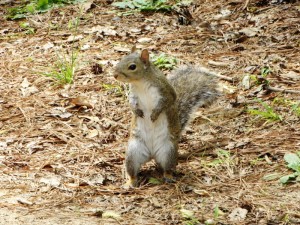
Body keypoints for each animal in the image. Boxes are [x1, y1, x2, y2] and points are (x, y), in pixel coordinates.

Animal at [113, 47, 219, 188]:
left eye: (132, 66)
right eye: (121, 59)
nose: (115, 75)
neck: (141, 83)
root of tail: (152, 154)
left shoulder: (165, 90)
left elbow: (166, 102)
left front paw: (154, 114)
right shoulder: (134, 94)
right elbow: (131, 103)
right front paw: (137, 112)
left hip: (168, 151)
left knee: (167, 169)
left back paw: (168, 177)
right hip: (133, 153)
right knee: (133, 171)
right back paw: (130, 182)